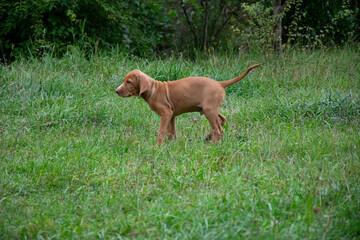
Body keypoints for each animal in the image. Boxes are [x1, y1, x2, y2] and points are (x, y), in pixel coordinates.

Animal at [116, 63, 260, 145]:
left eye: (128, 82)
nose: (116, 90)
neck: (153, 89)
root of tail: (220, 83)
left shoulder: (166, 113)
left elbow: (161, 131)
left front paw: (157, 146)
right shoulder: (171, 115)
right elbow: (171, 132)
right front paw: (172, 144)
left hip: (209, 110)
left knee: (219, 130)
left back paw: (211, 143)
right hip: (211, 109)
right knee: (222, 121)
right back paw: (208, 137)